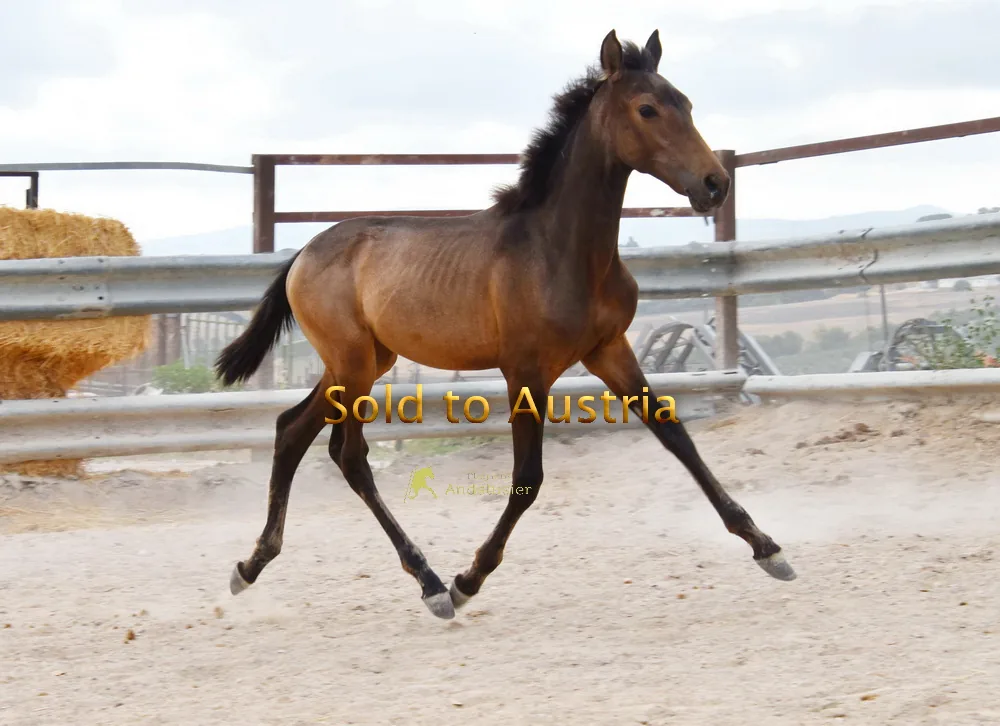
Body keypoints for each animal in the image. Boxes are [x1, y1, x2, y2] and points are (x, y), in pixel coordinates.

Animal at [216, 29, 796, 620]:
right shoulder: (525, 370)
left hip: (363, 362)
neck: (560, 252)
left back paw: (252, 565)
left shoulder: (610, 349)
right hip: (353, 362)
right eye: (648, 109)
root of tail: (304, 252)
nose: (714, 184)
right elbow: (527, 479)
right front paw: (467, 580)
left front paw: (767, 547)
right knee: (348, 455)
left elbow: (676, 435)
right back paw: (429, 583)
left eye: (688, 103)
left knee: (294, 432)